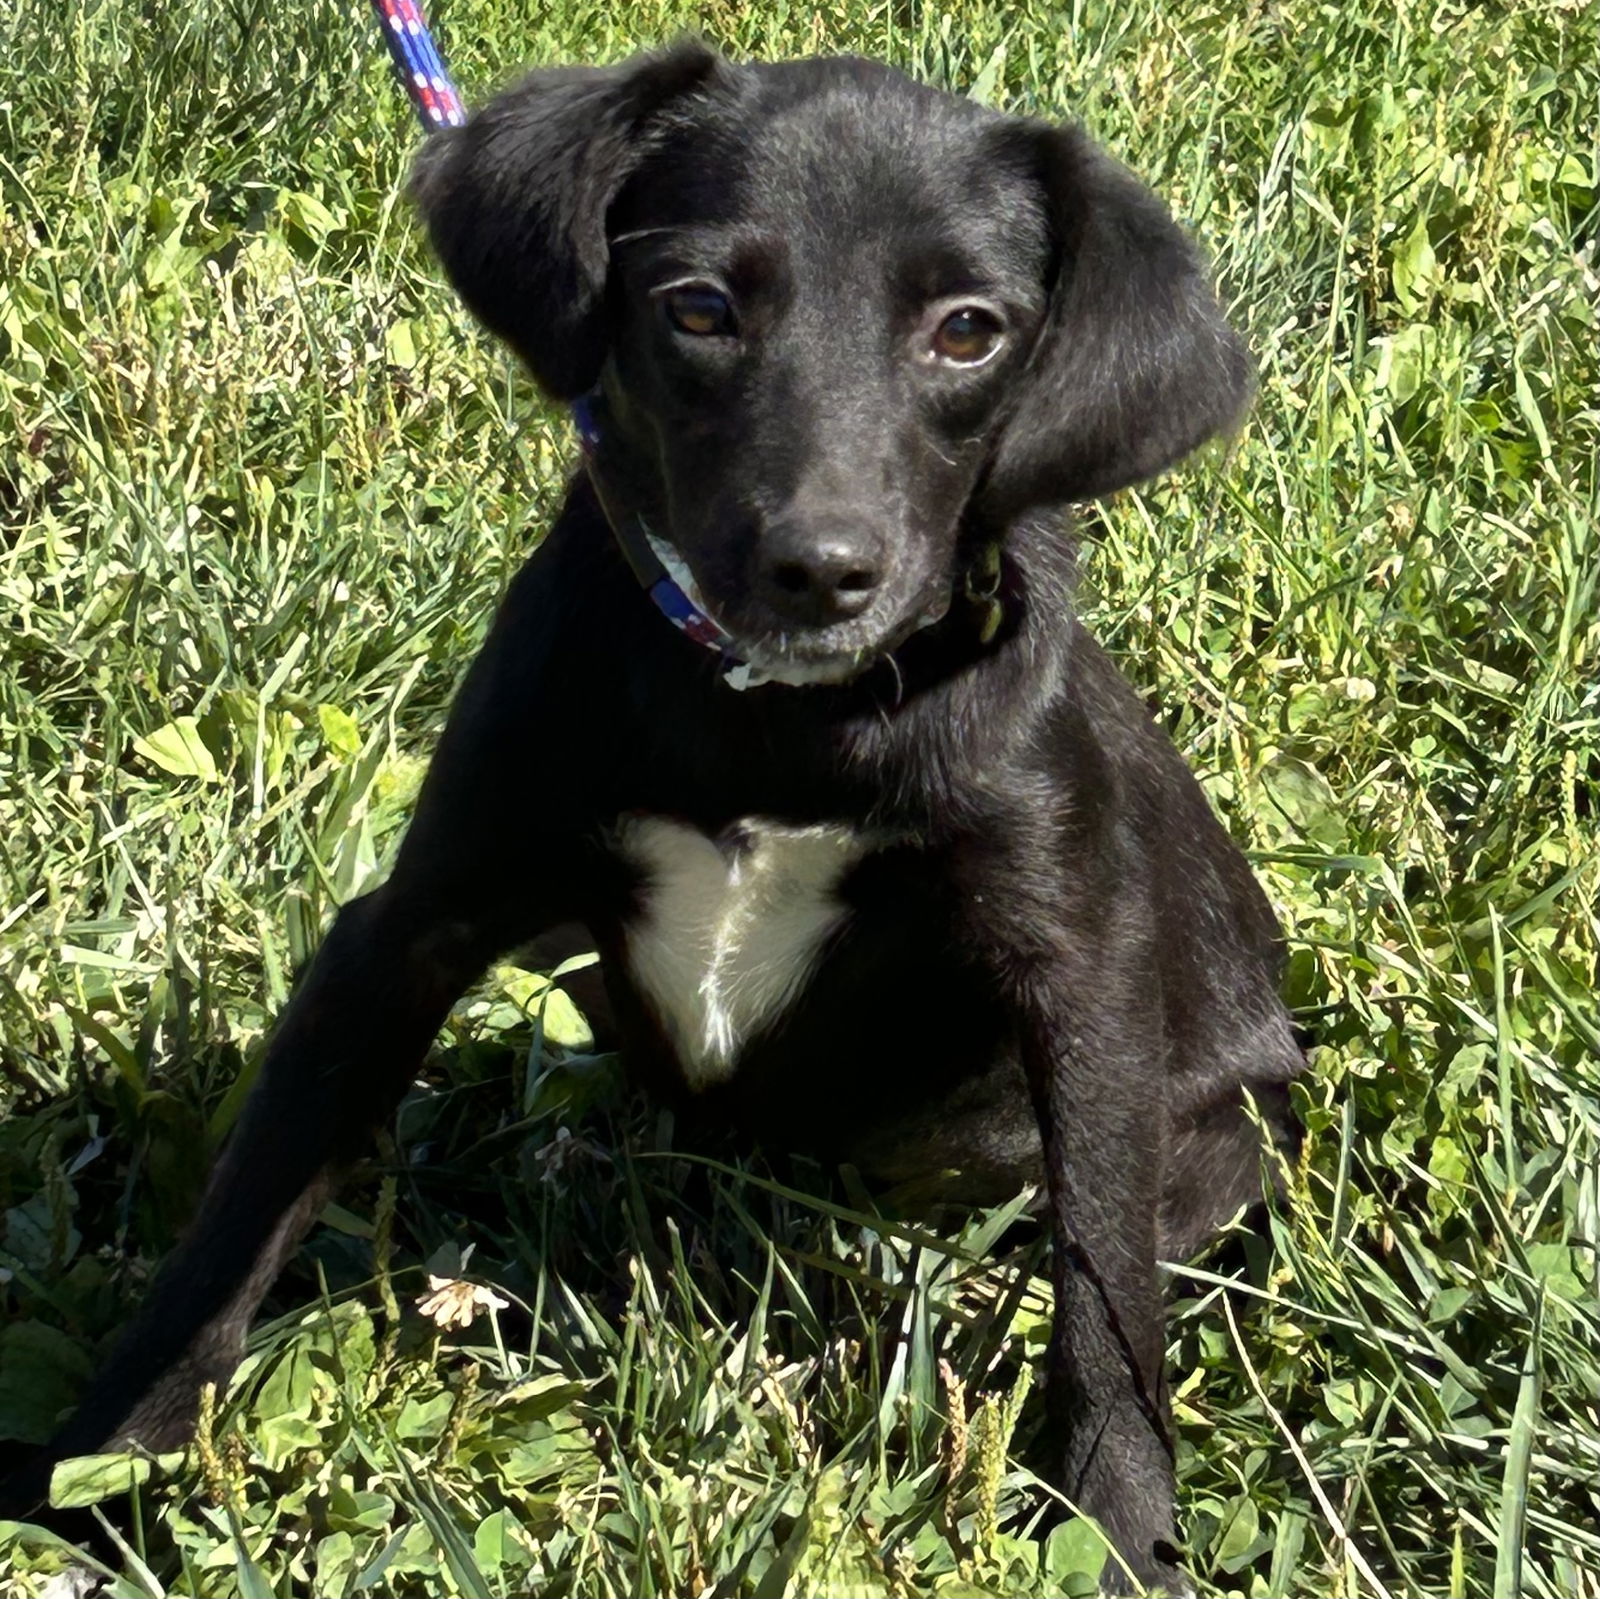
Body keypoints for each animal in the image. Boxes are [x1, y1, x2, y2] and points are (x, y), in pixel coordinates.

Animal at [3, 43, 1299, 1594]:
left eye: (969, 332)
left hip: (1215, 1139)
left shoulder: (1080, 975)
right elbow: (235, 1226)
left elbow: (1107, 1303)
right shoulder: (406, 928)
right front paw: (100, 1472)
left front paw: (1118, 1527)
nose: (822, 569)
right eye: (698, 308)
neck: (773, 717)